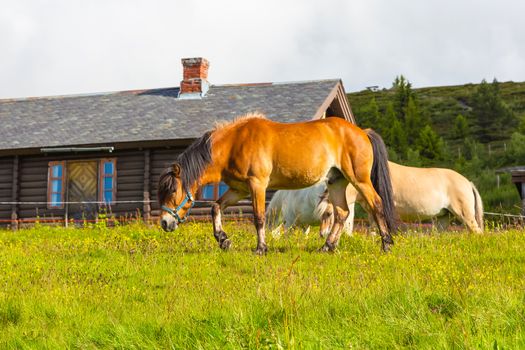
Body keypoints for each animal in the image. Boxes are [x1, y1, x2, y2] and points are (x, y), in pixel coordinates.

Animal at [158, 115, 396, 254]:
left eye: (173, 191)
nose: (165, 223)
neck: (234, 143)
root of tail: (362, 131)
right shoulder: (239, 189)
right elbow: (216, 207)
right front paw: (223, 240)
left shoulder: (257, 185)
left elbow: (259, 218)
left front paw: (260, 248)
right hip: (336, 182)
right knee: (342, 213)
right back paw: (327, 246)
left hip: (359, 180)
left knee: (376, 203)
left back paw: (386, 244)